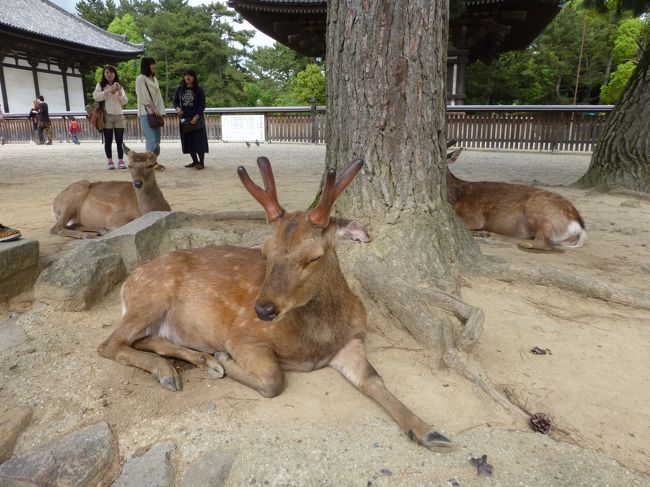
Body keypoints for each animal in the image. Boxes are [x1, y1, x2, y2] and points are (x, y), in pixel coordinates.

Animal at [97, 156, 456, 453]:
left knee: (145, 339)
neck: (314, 343)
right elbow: (273, 380)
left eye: (313, 256)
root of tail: (127, 284)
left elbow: (374, 380)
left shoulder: (352, 340)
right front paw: (223, 360)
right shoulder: (243, 336)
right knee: (109, 344)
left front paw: (429, 431)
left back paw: (189, 363)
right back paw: (178, 369)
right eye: (265, 251)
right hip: (151, 296)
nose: (263, 310)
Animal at [445, 143, 587, 250]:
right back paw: (487, 235)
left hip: (538, 210)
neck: (456, 196)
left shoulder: (474, 217)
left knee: (544, 242)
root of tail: (579, 225)